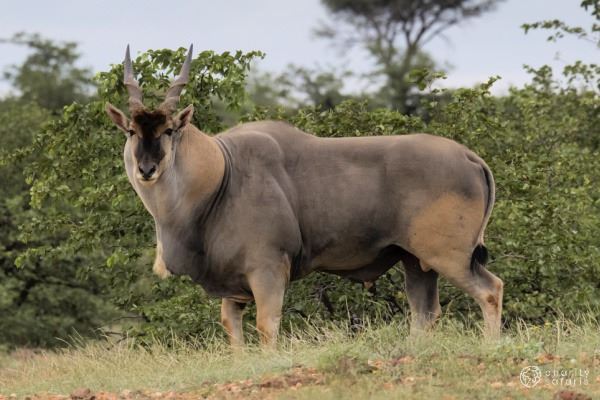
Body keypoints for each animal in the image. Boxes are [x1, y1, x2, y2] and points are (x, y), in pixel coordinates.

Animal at [105, 45, 503, 347]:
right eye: (131, 132)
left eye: (169, 130)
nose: (147, 169)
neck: (221, 175)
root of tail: (472, 158)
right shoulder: (233, 289)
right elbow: (234, 333)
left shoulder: (267, 270)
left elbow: (267, 328)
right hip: (415, 261)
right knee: (425, 313)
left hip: (449, 256)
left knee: (490, 290)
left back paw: (491, 346)